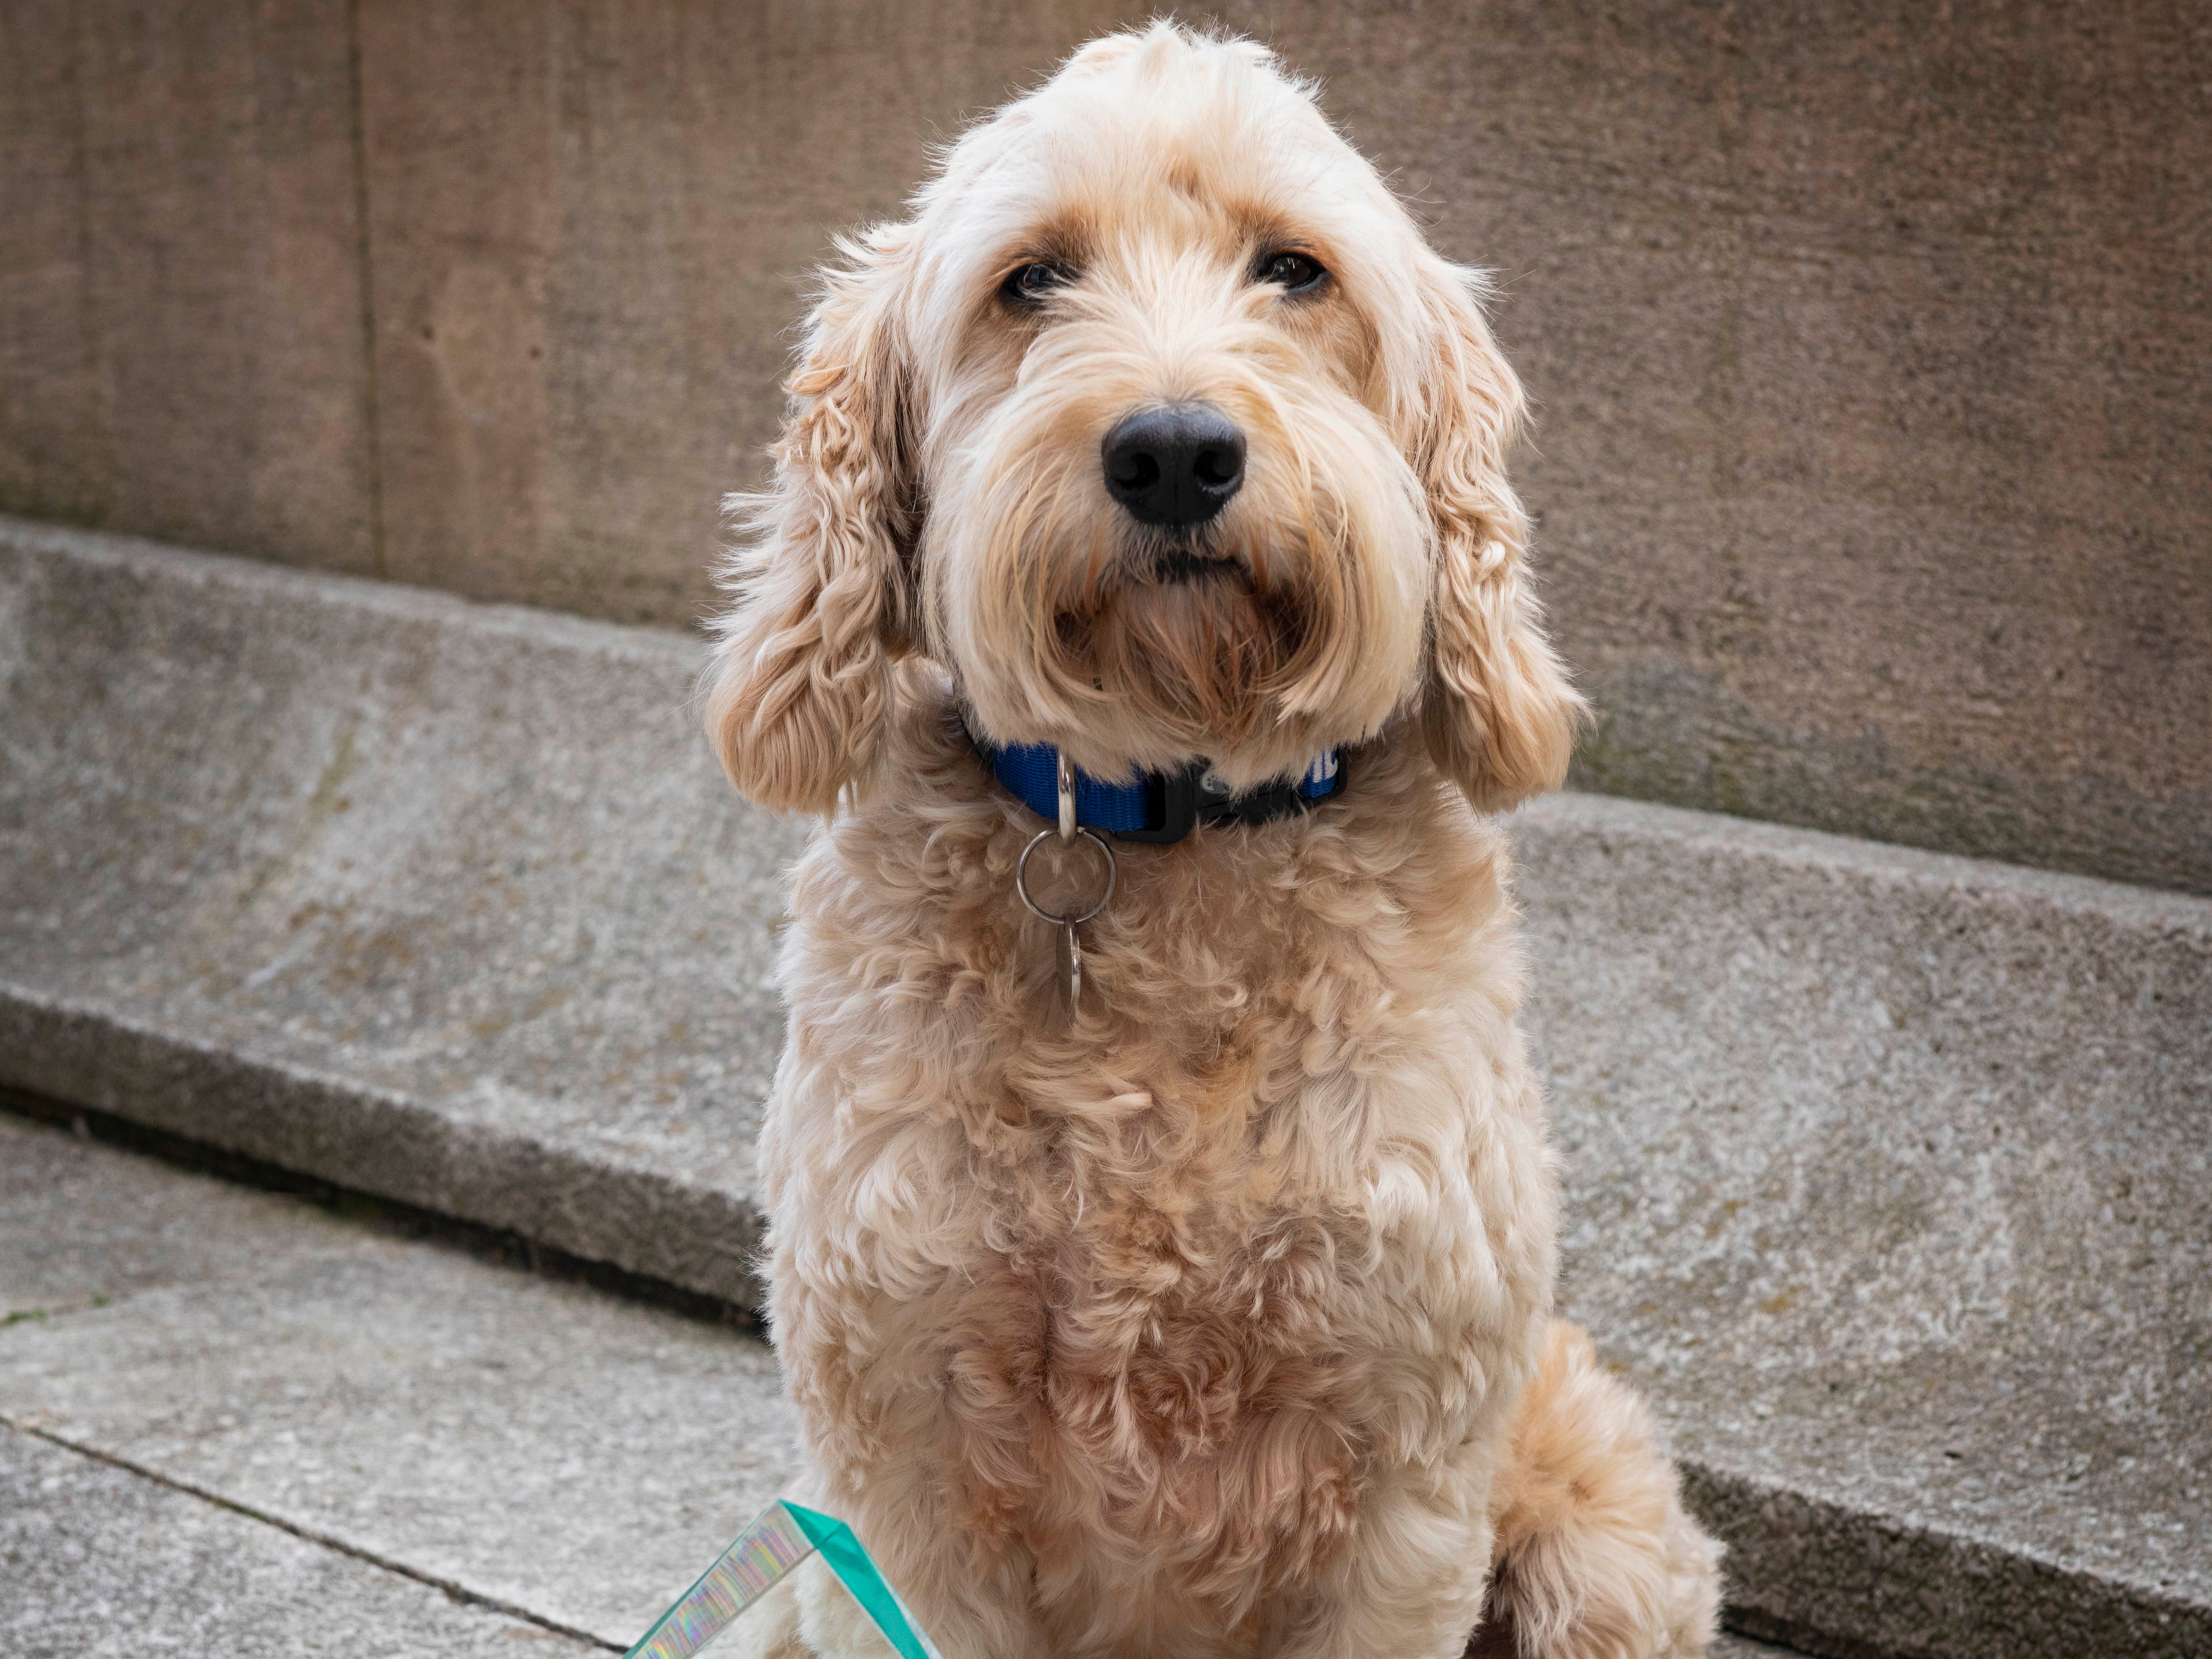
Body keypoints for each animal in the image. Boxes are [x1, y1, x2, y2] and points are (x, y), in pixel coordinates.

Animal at [708, 22, 1725, 1659]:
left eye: (1294, 271)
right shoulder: (904, 1471)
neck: (1167, 820)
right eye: (1033, 279)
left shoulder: (1407, 1476)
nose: (1175, 452)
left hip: (1603, 1544)